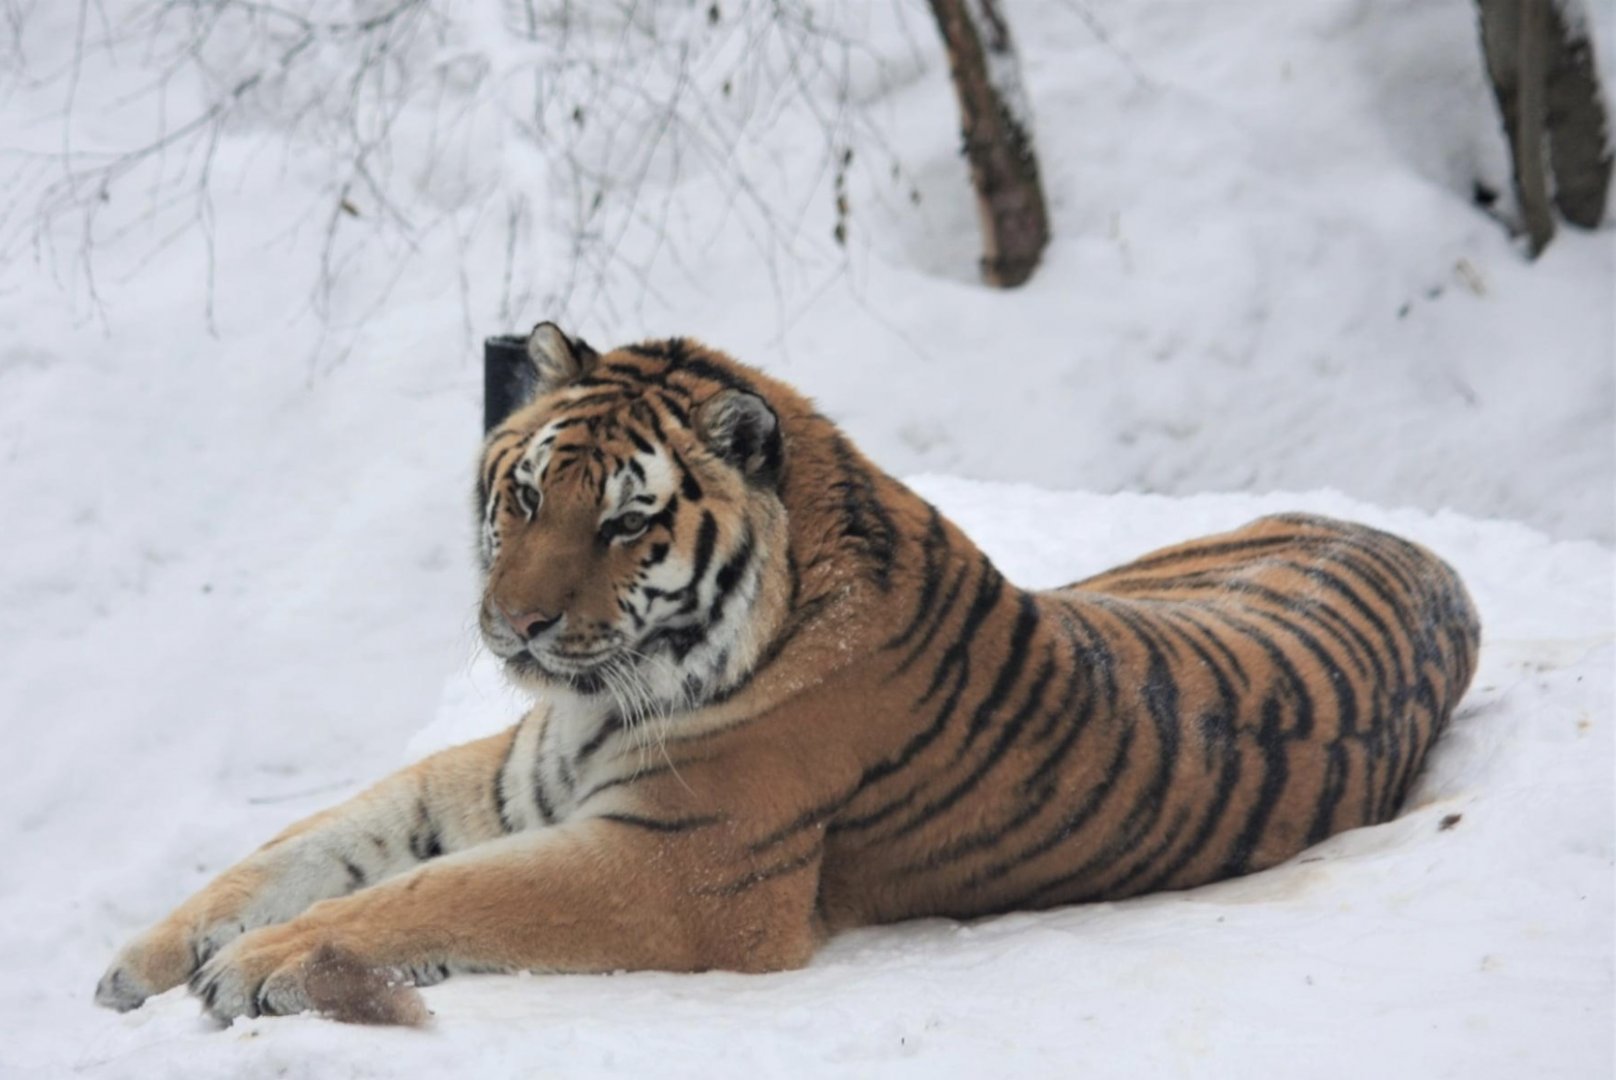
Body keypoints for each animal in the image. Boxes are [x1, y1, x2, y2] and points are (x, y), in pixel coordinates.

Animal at [95, 323, 1481, 1025]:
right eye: (527, 494)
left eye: (623, 524)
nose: (516, 625)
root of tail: (1411, 543)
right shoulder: (497, 780)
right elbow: (304, 848)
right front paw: (148, 955)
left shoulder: (674, 871)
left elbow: (437, 894)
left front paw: (261, 969)